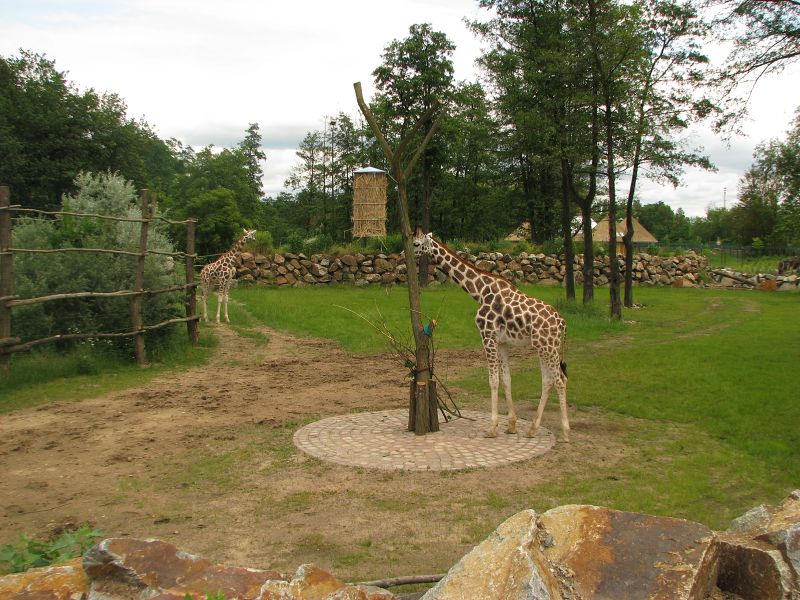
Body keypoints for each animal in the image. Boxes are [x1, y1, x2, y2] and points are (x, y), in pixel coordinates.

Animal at [413, 231, 570, 441]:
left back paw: (566, 433)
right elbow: (506, 379)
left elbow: (493, 380)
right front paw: (511, 426)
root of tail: (562, 323)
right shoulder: (502, 341)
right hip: (543, 347)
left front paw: (492, 428)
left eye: (416, 243)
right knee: (548, 380)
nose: (404, 254)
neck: (479, 291)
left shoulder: (486, 335)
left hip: (548, 347)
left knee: (560, 380)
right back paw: (532, 429)